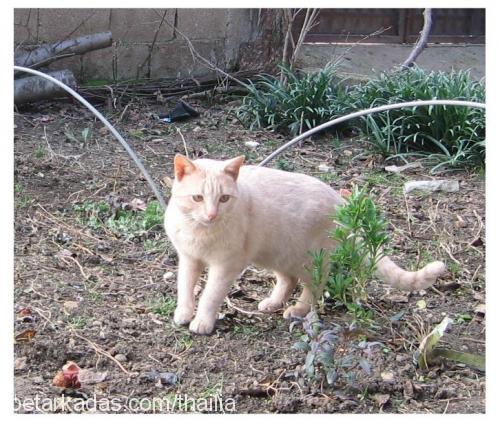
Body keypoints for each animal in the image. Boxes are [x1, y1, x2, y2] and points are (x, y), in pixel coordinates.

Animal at [164, 154, 446, 334]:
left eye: (223, 199)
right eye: (198, 198)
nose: (212, 215)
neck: (199, 231)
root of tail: (339, 199)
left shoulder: (225, 267)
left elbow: (209, 296)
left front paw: (201, 322)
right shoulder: (189, 259)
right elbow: (185, 288)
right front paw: (184, 313)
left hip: (309, 260)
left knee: (314, 286)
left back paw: (298, 309)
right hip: (278, 254)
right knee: (288, 281)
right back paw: (273, 303)